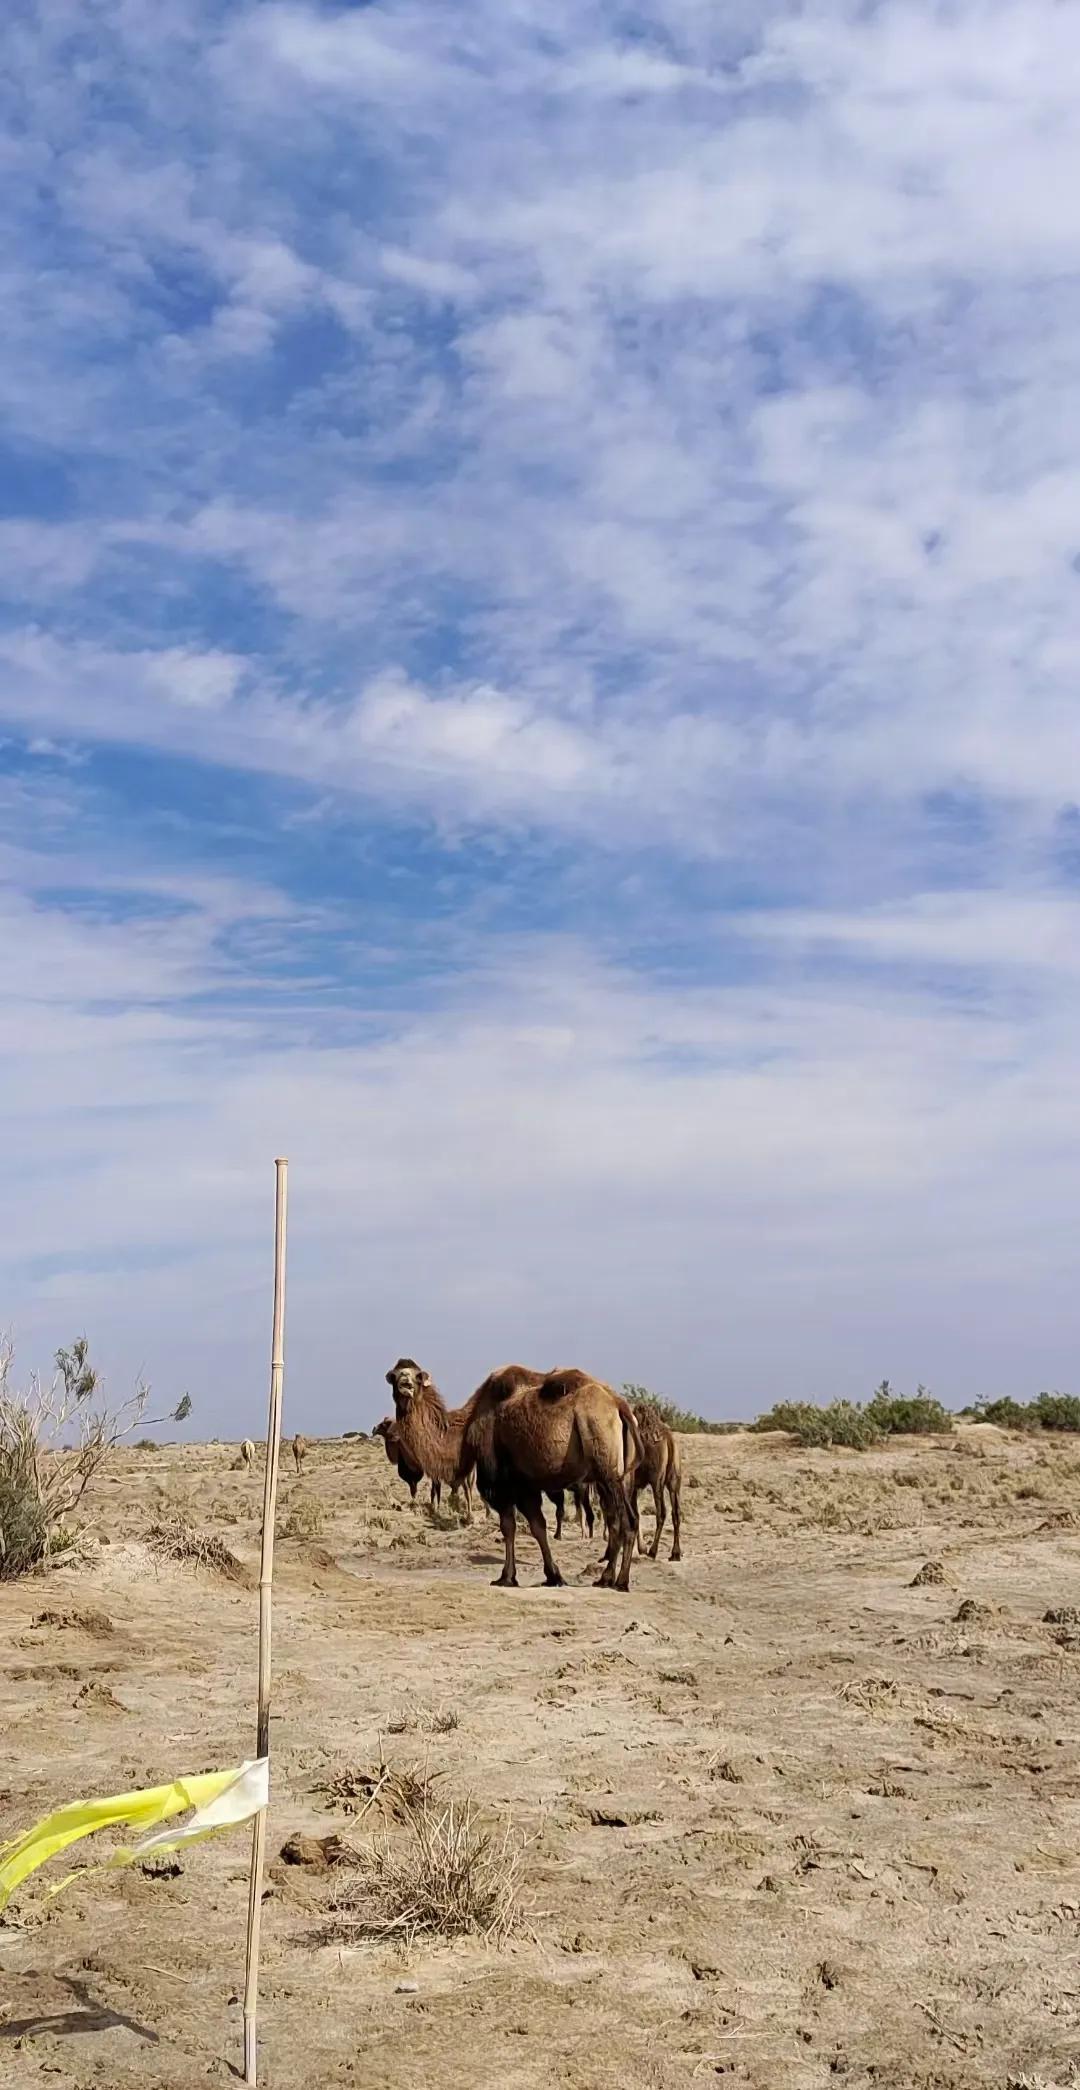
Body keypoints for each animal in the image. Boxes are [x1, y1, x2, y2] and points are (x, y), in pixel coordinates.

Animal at [384, 1362, 639, 1588]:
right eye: (394, 1375)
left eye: (417, 1376)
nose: (405, 1383)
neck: (467, 1429)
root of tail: (619, 1405)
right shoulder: (525, 1484)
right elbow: (537, 1526)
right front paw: (553, 1576)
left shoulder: (502, 1483)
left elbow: (509, 1526)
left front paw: (506, 1577)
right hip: (618, 1473)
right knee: (616, 1519)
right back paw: (605, 1579)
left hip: (605, 1459)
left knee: (626, 1520)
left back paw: (621, 1582)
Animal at [622, 1404, 681, 1554]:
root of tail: (669, 1438)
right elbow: (636, 1514)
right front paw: (640, 1548)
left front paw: (639, 1549)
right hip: (674, 1477)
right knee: (676, 1511)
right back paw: (675, 1553)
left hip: (656, 1478)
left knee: (661, 1512)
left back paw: (653, 1551)